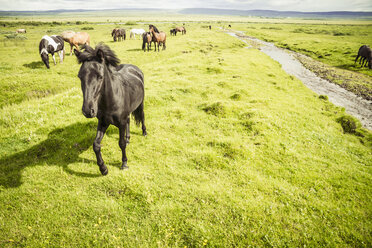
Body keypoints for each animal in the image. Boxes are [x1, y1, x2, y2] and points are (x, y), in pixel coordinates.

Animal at [74, 43, 147, 174]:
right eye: (79, 76)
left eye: (100, 76)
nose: (88, 110)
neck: (110, 101)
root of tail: (135, 69)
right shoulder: (103, 122)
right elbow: (96, 145)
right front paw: (103, 168)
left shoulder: (121, 123)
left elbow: (121, 144)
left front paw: (124, 163)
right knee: (129, 121)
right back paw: (128, 138)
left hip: (140, 104)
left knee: (142, 116)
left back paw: (144, 132)